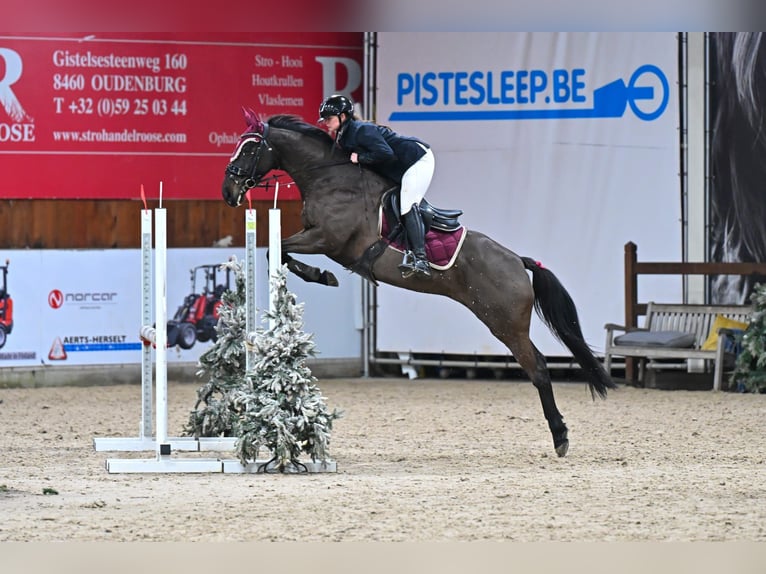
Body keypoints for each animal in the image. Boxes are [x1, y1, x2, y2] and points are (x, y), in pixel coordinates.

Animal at [221, 108, 617, 457]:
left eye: (250, 148)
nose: (228, 191)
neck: (328, 177)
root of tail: (519, 262)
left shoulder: (327, 239)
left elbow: (278, 251)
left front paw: (322, 276)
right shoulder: (319, 239)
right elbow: (278, 253)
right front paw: (321, 276)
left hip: (506, 324)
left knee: (539, 369)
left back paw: (560, 436)